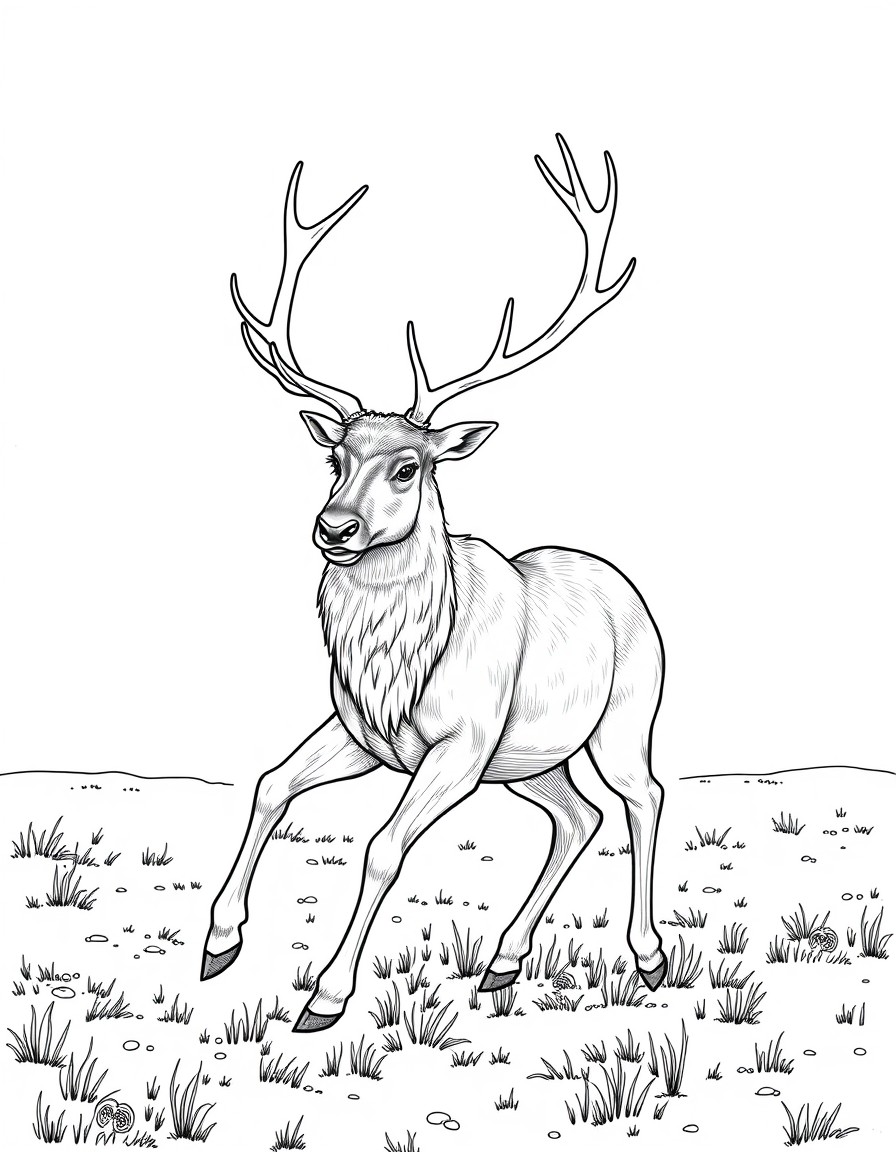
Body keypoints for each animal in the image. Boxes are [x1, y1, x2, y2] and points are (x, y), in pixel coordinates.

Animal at [201, 135, 667, 1032]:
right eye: (335, 455)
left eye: (409, 465)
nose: (335, 528)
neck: (402, 660)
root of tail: (631, 593)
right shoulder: (363, 730)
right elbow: (272, 784)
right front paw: (219, 941)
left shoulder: (462, 741)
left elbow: (384, 847)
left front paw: (325, 995)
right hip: (532, 761)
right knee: (579, 816)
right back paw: (502, 962)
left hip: (624, 719)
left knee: (643, 796)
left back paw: (651, 955)